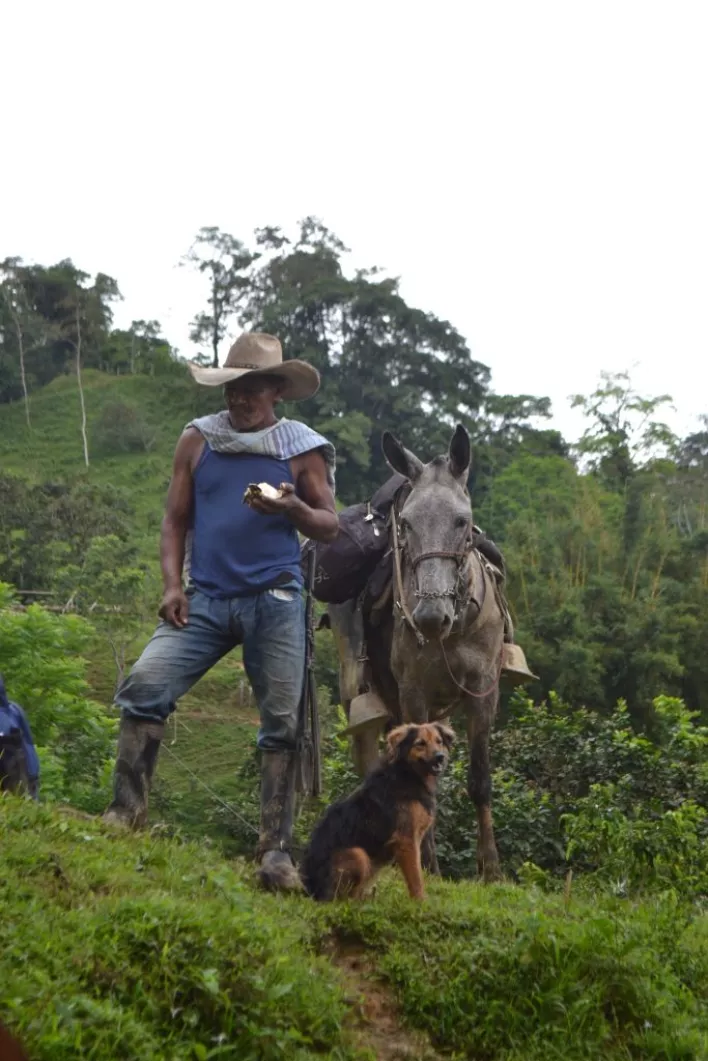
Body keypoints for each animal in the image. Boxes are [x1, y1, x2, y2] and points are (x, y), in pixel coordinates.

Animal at [299, 717, 454, 899]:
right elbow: (416, 878)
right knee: (338, 898)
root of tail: (310, 890)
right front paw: (421, 901)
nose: (440, 757)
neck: (408, 774)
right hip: (357, 854)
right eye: (420, 743)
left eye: (439, 741)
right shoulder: (406, 840)